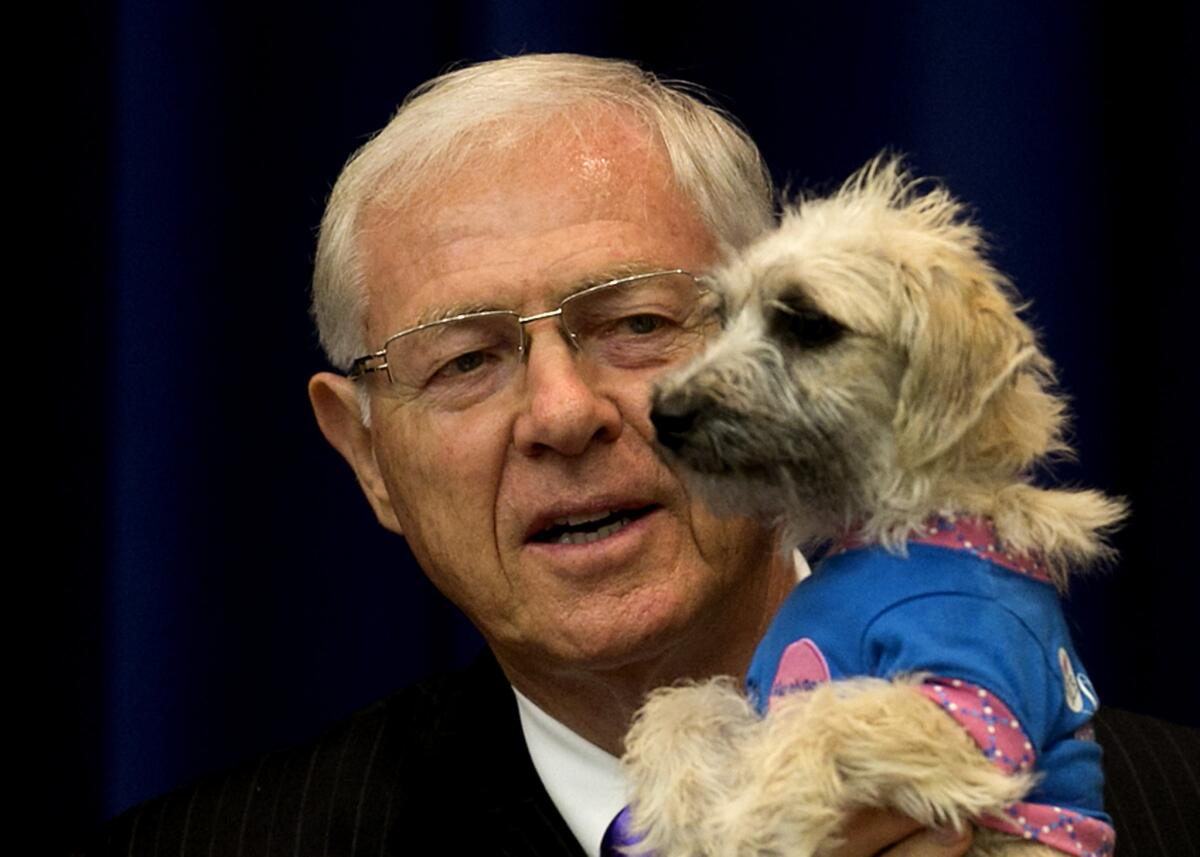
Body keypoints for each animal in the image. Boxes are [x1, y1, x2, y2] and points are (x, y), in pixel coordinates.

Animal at [619, 157, 1123, 854]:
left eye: (808, 323)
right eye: (721, 316)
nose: (663, 414)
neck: (901, 521)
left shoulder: (974, 711)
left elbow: (824, 712)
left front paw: (746, 823)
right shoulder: (753, 692)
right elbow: (682, 702)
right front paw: (683, 805)